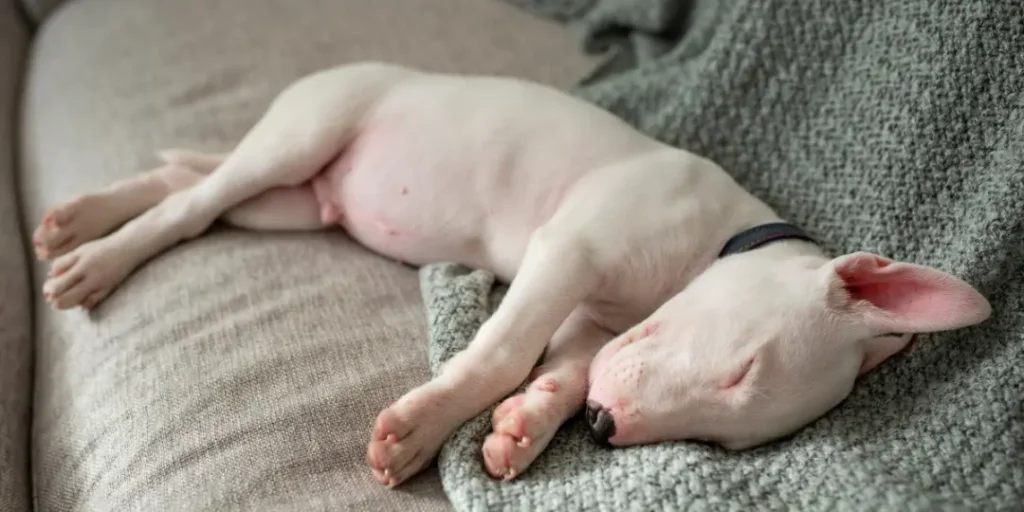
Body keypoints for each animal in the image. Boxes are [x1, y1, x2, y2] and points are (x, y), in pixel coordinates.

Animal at [34, 61, 991, 485]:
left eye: (726, 443)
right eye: (741, 371)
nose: (607, 431)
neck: (719, 236)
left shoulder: (595, 323)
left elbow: (561, 370)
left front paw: (525, 429)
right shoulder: (566, 252)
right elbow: (501, 351)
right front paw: (421, 431)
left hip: (294, 203)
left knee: (190, 190)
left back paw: (82, 218)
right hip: (308, 132)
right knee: (191, 205)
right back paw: (95, 257)